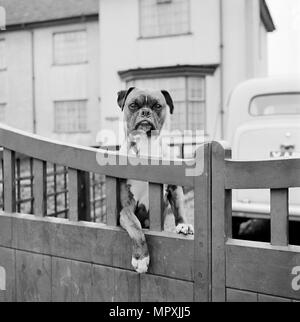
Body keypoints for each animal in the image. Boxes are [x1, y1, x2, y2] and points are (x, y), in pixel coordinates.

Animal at [116, 87, 193, 272]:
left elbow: (180, 208)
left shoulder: (174, 188)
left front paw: (183, 224)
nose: (145, 112)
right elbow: (135, 226)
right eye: (133, 105)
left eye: (157, 106)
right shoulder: (126, 209)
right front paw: (141, 258)